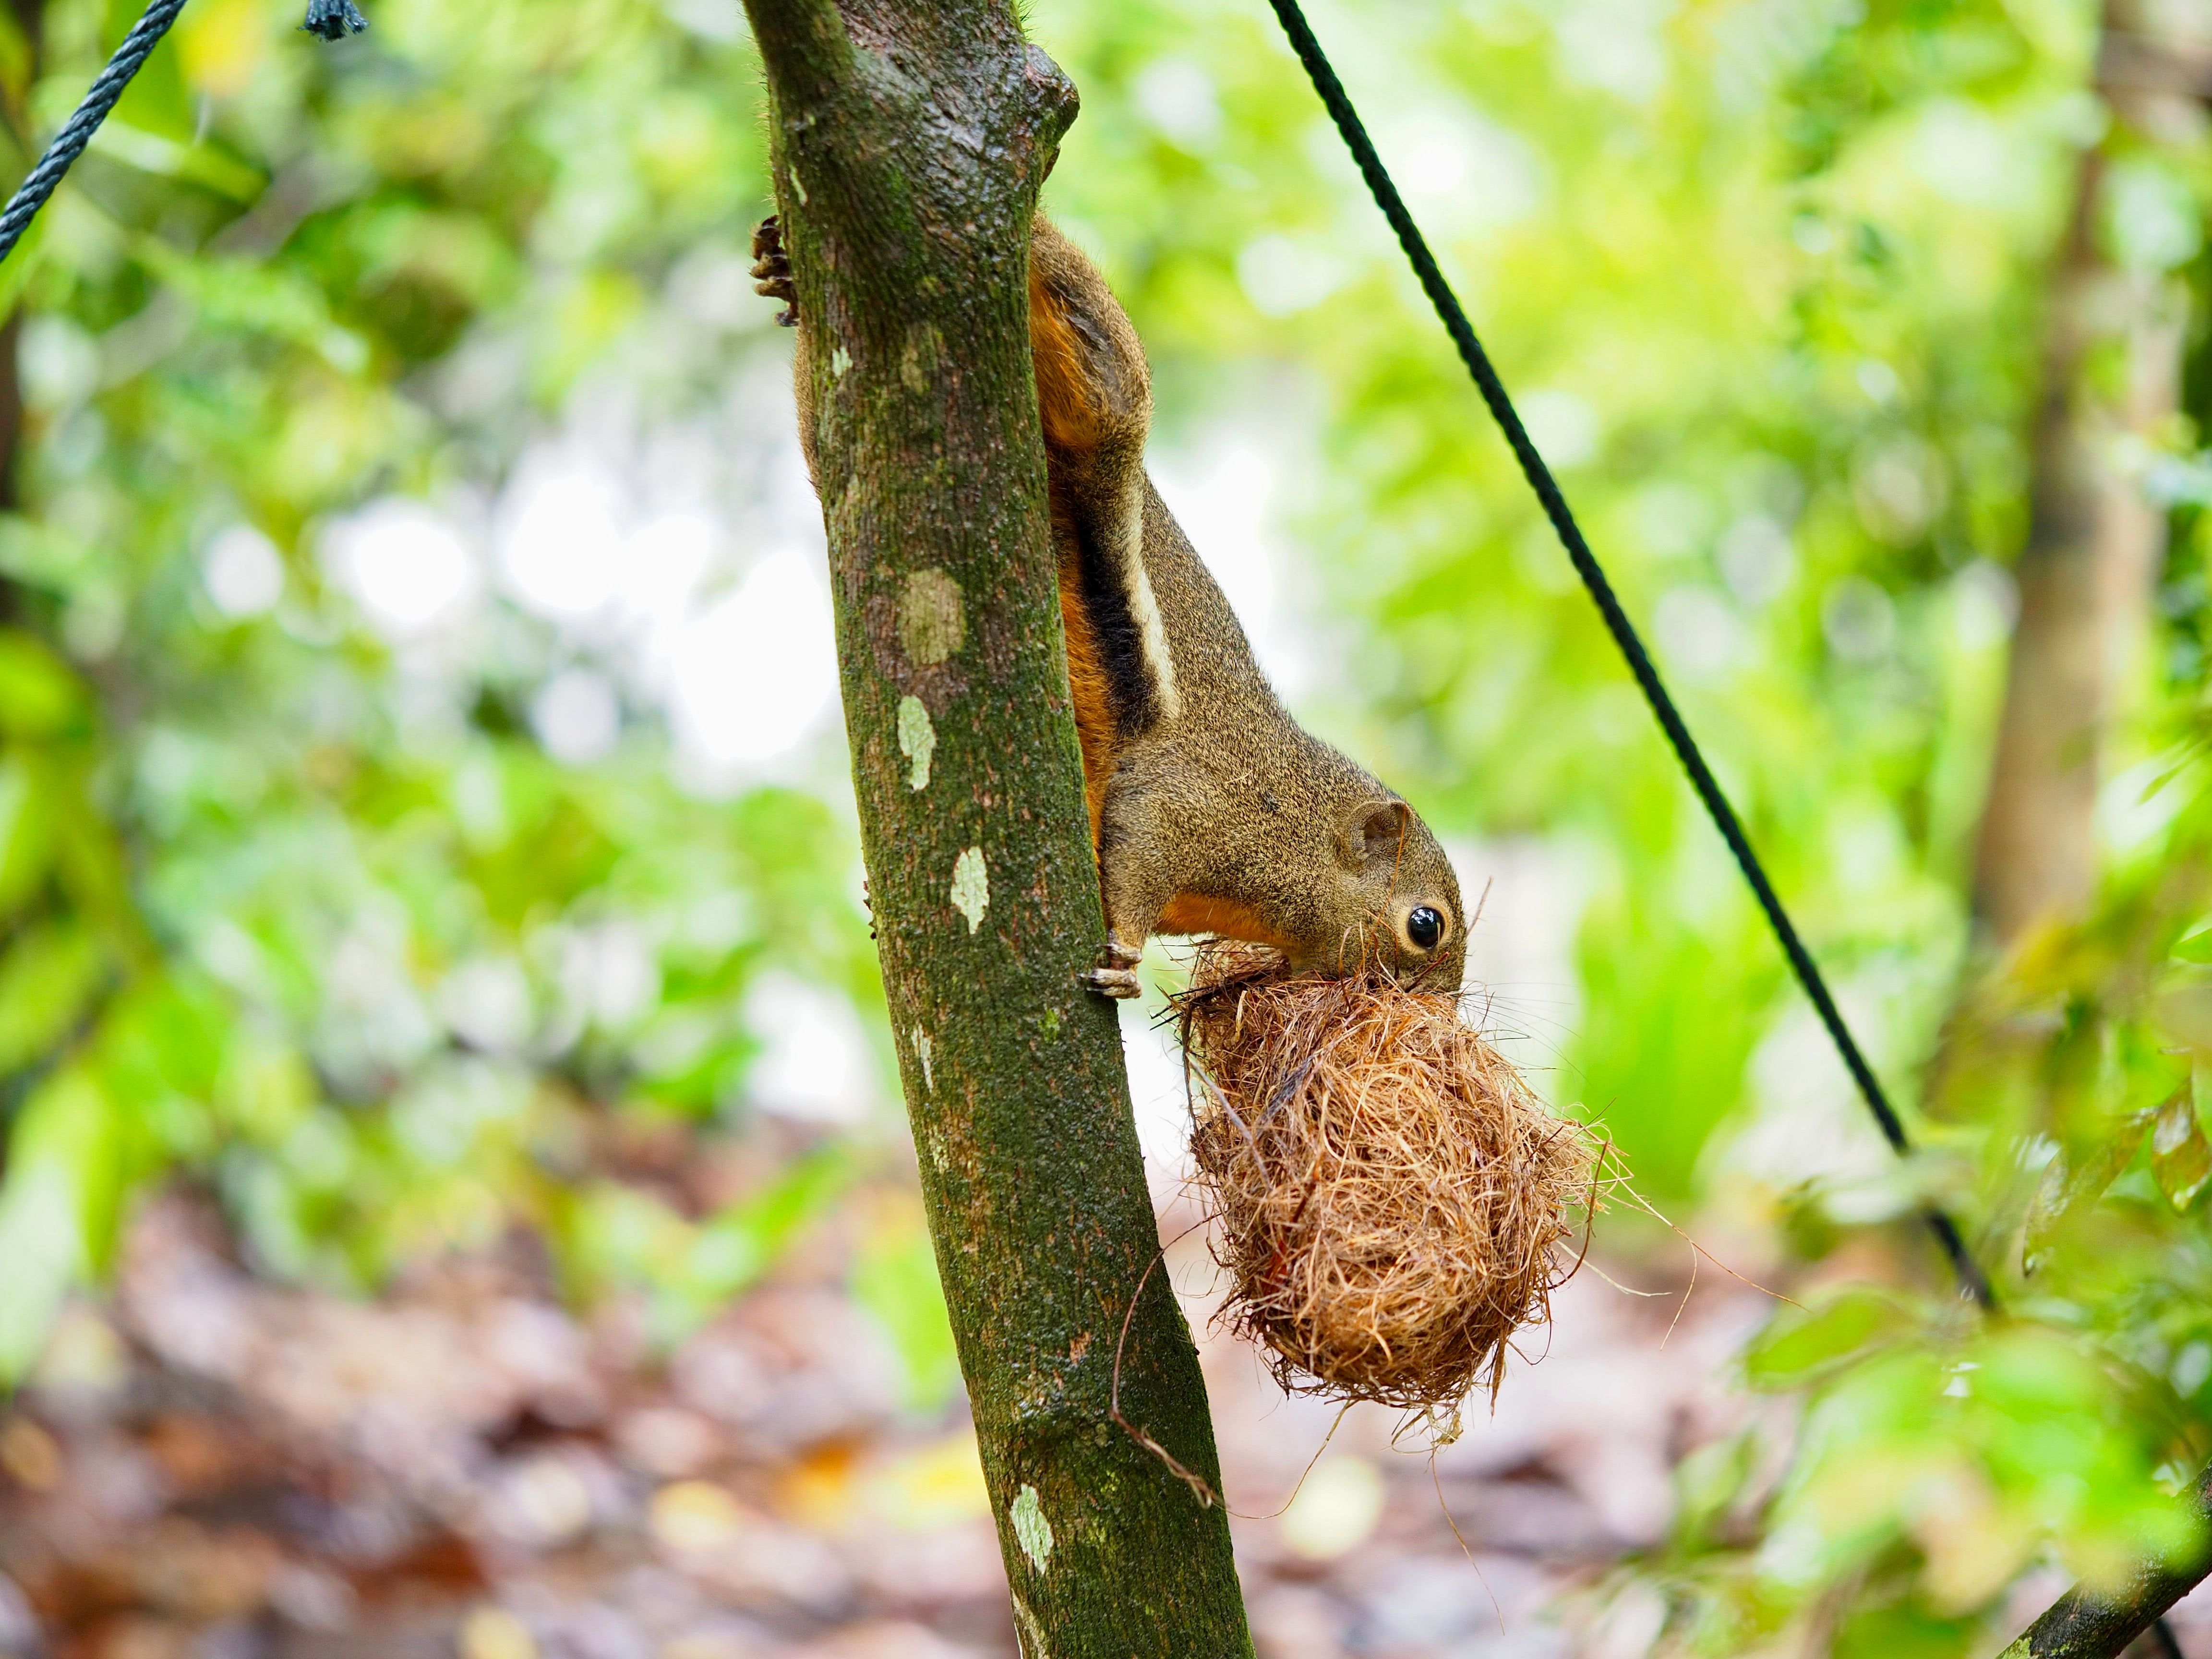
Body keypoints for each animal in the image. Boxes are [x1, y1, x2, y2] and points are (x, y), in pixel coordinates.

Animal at [753, 213, 1466, 1000]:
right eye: (1425, 925)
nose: (1438, 1006)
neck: (1298, 822)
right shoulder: (1194, 807)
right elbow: (1139, 856)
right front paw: (1123, 962)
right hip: (1108, 393)